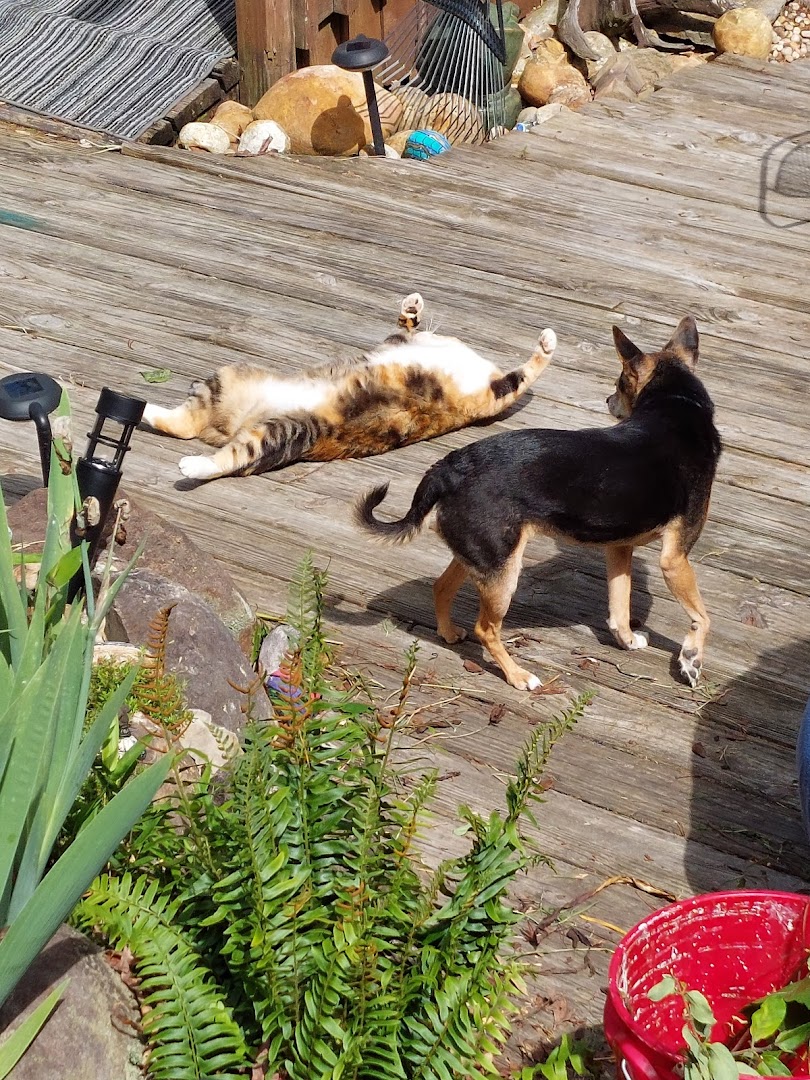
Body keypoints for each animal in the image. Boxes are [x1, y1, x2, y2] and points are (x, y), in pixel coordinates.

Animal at [141, 293, 557, 481]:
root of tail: (228, 426)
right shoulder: (399, 344)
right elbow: (405, 326)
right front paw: (413, 306)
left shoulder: (489, 396)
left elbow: (525, 374)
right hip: (233, 382)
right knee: (195, 431)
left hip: (282, 428)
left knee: (217, 448)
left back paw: (179, 449)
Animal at [355, 316, 722, 691]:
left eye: (618, 385)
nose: (608, 399)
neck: (676, 406)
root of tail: (447, 469)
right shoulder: (674, 560)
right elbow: (703, 617)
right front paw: (691, 659)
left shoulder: (619, 549)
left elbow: (620, 607)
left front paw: (628, 640)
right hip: (503, 574)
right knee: (485, 629)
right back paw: (518, 675)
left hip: (484, 556)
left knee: (441, 587)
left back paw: (448, 632)